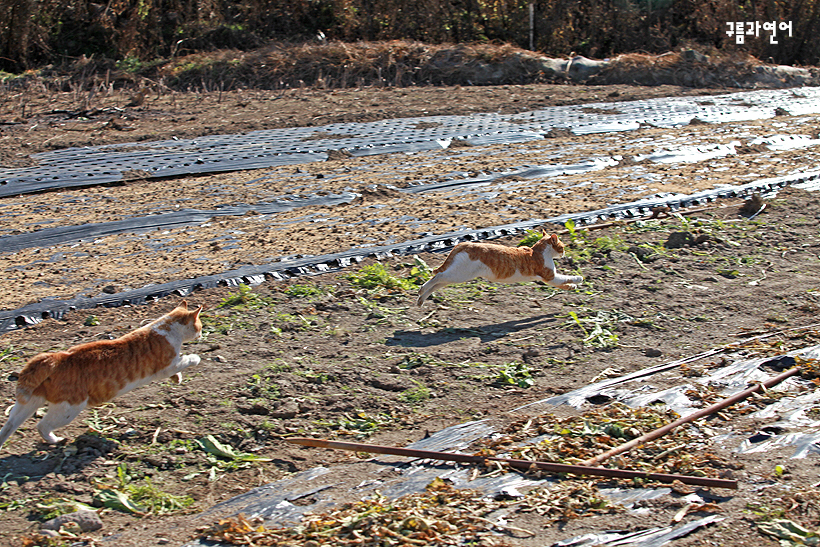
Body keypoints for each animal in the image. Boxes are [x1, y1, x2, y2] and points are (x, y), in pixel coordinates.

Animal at [0, 300, 203, 450]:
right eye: (199, 326)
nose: (201, 335)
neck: (166, 326)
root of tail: (57, 357)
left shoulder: (171, 366)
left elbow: (178, 371)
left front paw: (177, 379)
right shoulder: (167, 366)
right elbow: (188, 359)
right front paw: (195, 358)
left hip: (28, 402)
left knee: (9, 425)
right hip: (69, 408)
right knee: (42, 426)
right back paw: (56, 441)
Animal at [416, 231, 584, 308]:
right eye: (562, 246)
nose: (564, 253)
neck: (537, 250)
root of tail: (463, 243)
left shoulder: (549, 279)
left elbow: (563, 283)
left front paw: (572, 287)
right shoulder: (550, 276)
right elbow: (567, 277)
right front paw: (579, 279)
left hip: (456, 276)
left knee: (437, 283)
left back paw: (421, 299)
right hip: (459, 274)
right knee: (437, 277)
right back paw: (421, 290)